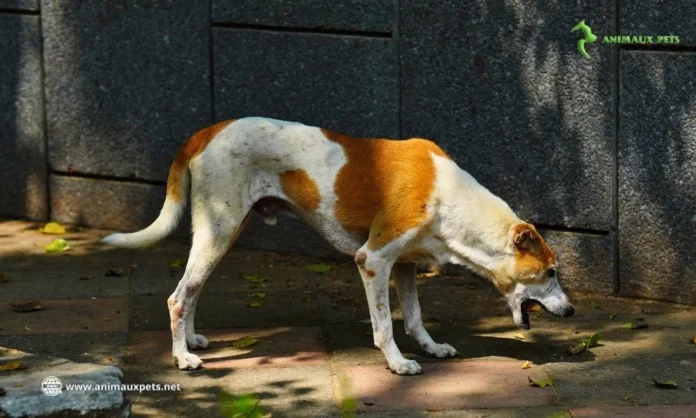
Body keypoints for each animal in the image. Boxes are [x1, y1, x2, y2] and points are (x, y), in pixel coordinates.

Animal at [100, 116, 572, 376]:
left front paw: (431, 348)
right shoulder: (373, 260)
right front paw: (397, 364)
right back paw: (182, 358)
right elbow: (384, 326)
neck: (450, 198)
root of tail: (205, 132)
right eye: (550, 272)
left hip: (220, 234)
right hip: (219, 229)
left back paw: (192, 341)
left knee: (192, 291)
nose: (571, 311)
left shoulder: (404, 266)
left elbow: (415, 317)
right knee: (178, 297)